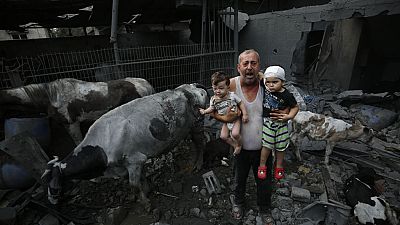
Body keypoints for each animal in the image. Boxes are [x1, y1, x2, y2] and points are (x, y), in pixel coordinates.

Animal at [41, 83, 209, 210]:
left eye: (54, 187)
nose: (51, 202)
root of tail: (192, 85)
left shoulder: (135, 159)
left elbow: (133, 184)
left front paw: (146, 204)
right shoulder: (133, 162)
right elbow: (140, 179)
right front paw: (145, 191)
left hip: (197, 122)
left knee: (200, 143)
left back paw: (197, 165)